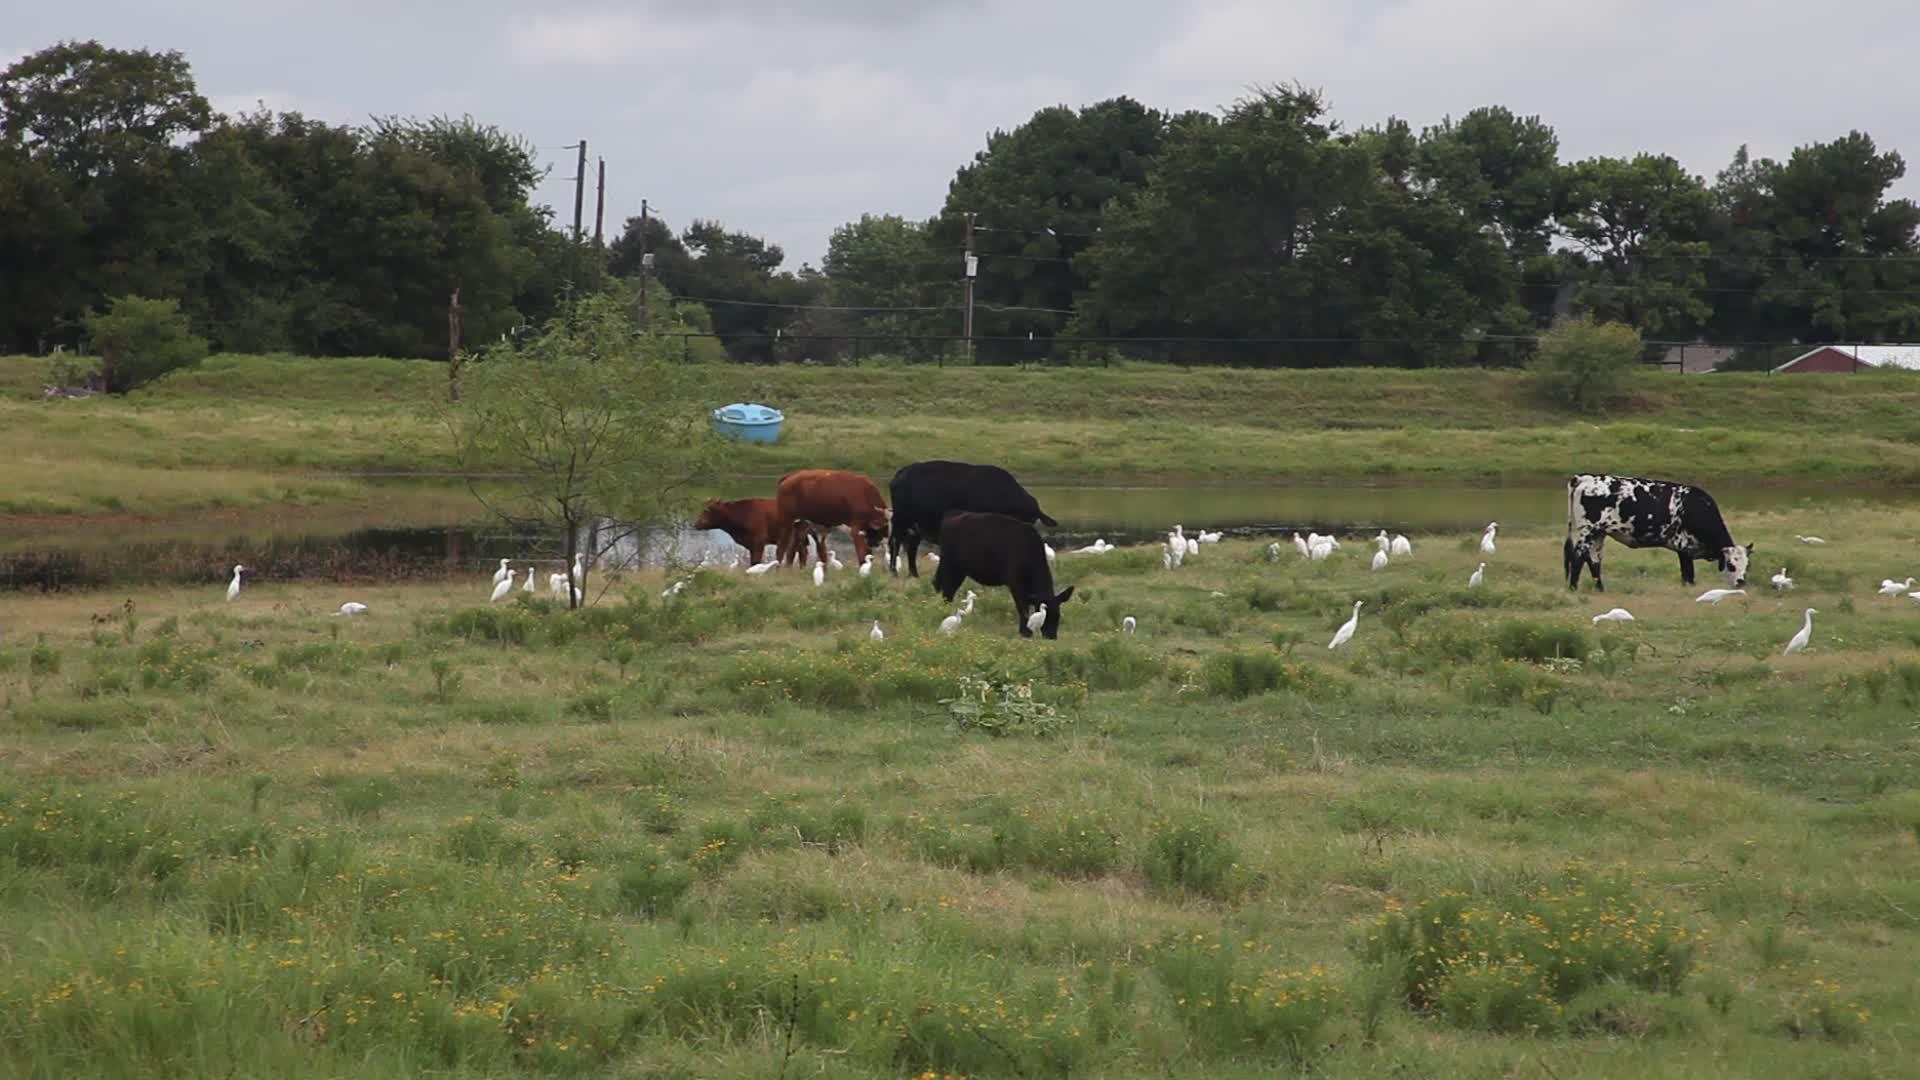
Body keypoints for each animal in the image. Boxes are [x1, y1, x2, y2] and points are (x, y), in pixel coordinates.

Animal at [887, 457, 1059, 576]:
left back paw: (913, 574)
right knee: (895, 543)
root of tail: (900, 474)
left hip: (916, 526)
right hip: (901, 521)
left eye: (1030, 520)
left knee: (911, 547)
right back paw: (894, 572)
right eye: (1021, 518)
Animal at [925, 507, 1075, 634]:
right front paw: (1025, 632)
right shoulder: (1016, 583)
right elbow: (1023, 608)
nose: (1052, 636)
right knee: (947, 591)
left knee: (939, 585)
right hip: (952, 567)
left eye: (1058, 616)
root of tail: (953, 515)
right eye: (1047, 617)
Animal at [1559, 470, 1758, 588]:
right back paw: (1573, 587)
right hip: (1588, 530)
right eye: (1731, 565)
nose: (1741, 582)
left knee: (1594, 559)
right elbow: (1689, 576)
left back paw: (1600, 589)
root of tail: (1586, 477)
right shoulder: (1684, 548)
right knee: (1579, 556)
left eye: (1747, 565)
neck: (1696, 508)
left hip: (1599, 533)